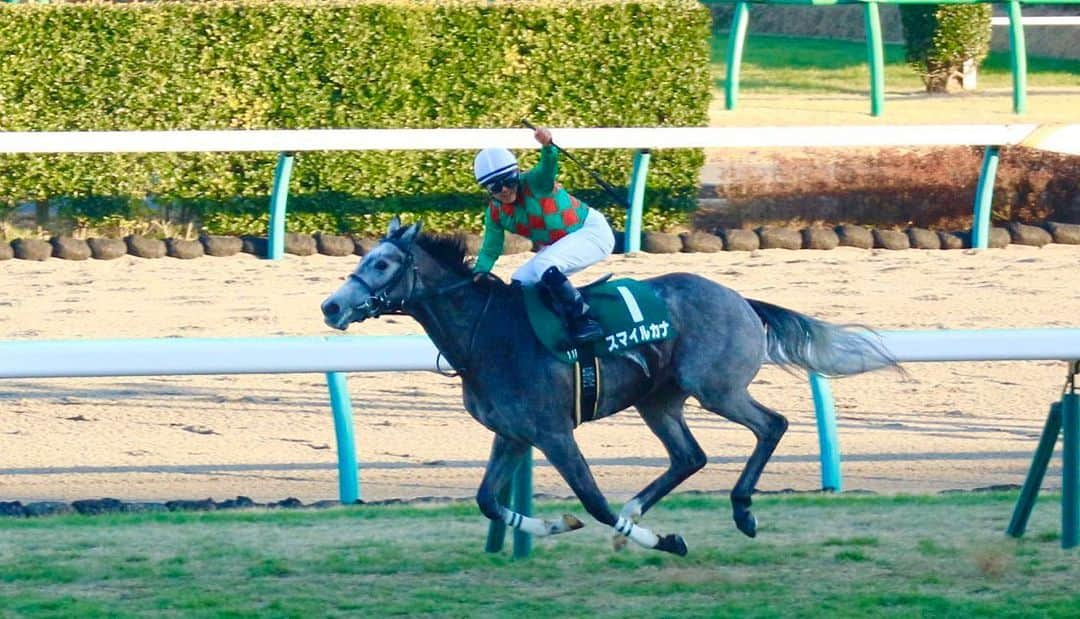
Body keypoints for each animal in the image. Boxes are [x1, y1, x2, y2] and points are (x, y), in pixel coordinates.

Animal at [321, 218, 902, 553]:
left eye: (383, 263)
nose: (330, 306)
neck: (489, 334)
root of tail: (740, 299)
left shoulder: (554, 433)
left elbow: (594, 501)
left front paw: (665, 540)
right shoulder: (512, 433)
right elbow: (487, 499)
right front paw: (556, 526)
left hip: (716, 387)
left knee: (772, 425)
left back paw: (742, 510)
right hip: (659, 400)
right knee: (690, 456)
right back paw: (641, 508)